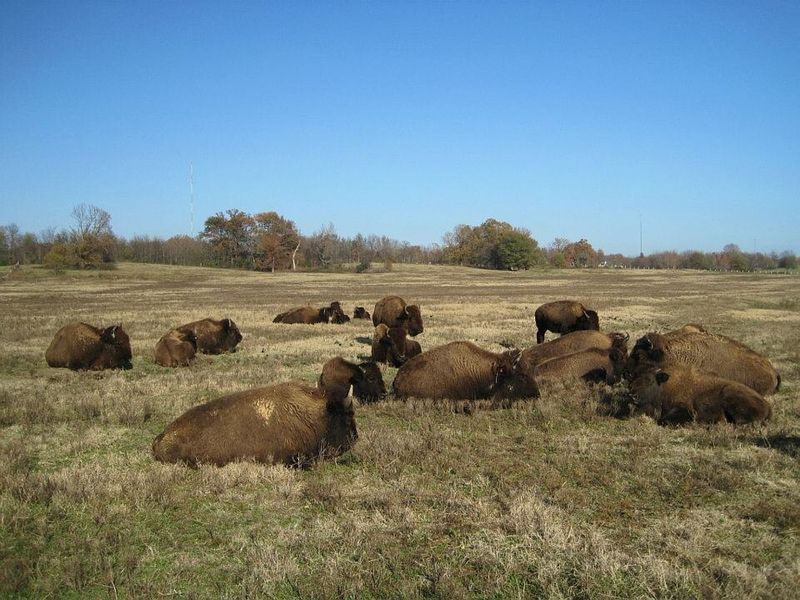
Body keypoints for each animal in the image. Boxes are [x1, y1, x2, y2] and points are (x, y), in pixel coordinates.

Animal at [631, 366, 772, 426]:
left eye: (650, 381)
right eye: (635, 378)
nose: (632, 395)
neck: (665, 386)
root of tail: (767, 405)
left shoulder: (686, 410)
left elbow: (663, 420)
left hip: (729, 396)